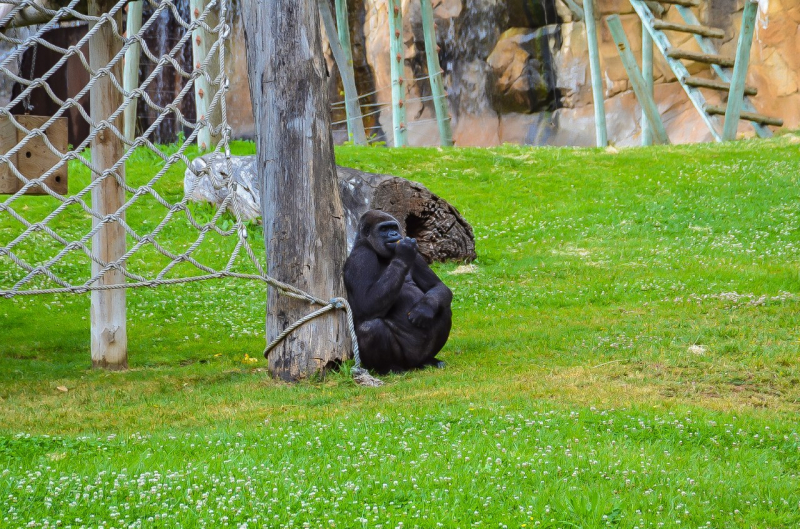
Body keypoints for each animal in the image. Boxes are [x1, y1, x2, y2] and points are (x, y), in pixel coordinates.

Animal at [344, 208, 454, 374]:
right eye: (384, 229)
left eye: (393, 227)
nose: (394, 234)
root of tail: (413, 365)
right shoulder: (361, 257)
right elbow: (366, 305)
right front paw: (404, 253)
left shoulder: (418, 256)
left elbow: (437, 286)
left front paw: (424, 308)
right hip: (404, 359)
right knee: (370, 327)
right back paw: (390, 368)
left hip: (419, 357)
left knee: (443, 308)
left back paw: (429, 360)